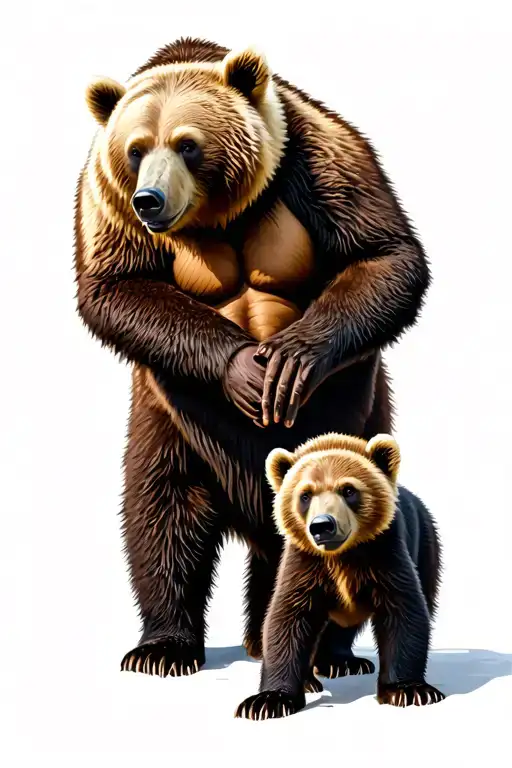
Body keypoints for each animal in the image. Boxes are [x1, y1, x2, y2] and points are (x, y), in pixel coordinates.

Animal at [74, 36, 431, 678]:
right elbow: (118, 284)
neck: (221, 211)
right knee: (163, 507)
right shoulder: (104, 198)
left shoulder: (316, 158)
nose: (150, 200)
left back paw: (327, 654)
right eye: (136, 149)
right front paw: (244, 370)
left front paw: (289, 362)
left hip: (356, 418)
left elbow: (383, 254)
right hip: (175, 426)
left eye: (187, 143)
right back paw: (165, 646)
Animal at [235, 432, 444, 720]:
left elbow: (403, 612)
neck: (341, 556)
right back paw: (315, 676)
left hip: (426, 545)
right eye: (305, 494)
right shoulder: (305, 563)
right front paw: (268, 700)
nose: (322, 525)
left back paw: (342, 663)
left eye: (348, 490)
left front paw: (409, 690)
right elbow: (287, 619)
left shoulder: (385, 554)